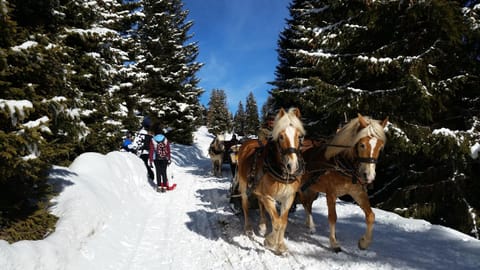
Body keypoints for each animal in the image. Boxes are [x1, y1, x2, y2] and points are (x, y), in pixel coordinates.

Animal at [238, 106, 306, 254]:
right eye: (281, 136)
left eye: (299, 136)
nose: (292, 166)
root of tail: (248, 142)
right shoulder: (269, 197)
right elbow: (277, 221)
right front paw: (270, 242)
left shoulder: (289, 197)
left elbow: (283, 222)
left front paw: (280, 245)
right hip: (244, 185)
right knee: (245, 204)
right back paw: (248, 228)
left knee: (260, 203)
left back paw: (262, 225)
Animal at [298, 113, 388, 252]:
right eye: (362, 145)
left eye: (380, 146)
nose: (369, 176)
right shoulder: (331, 193)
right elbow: (332, 217)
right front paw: (334, 242)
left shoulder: (358, 192)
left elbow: (371, 215)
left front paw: (364, 242)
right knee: (304, 203)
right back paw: (311, 226)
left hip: (312, 188)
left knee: (308, 203)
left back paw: (309, 224)